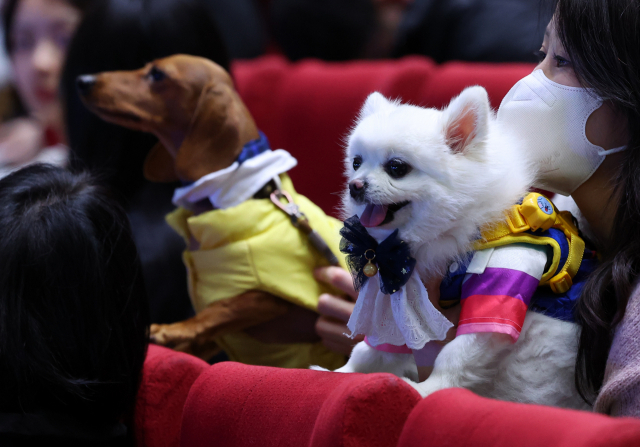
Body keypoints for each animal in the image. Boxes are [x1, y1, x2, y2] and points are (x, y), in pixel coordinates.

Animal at [320, 86, 592, 412]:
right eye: (357, 163)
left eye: (397, 168)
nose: (355, 185)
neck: (439, 231)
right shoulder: (397, 295)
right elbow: (372, 347)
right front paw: (340, 373)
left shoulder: (502, 282)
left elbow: (458, 351)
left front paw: (428, 390)